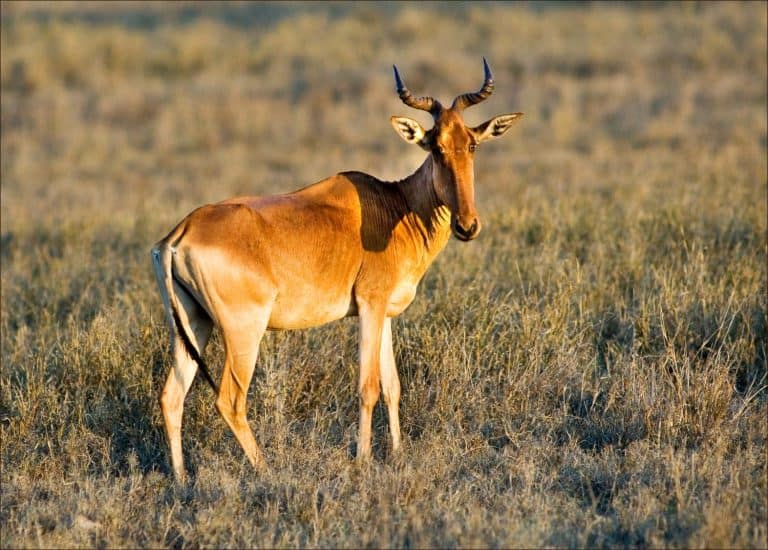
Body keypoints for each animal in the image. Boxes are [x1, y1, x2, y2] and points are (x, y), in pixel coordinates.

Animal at [151, 59, 522, 481]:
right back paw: (267, 470)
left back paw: (181, 479)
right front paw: (363, 460)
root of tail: (181, 232)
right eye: (436, 147)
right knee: (230, 400)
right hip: (243, 331)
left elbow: (392, 385)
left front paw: (397, 454)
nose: (467, 226)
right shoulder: (370, 306)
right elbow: (368, 386)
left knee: (171, 396)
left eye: (471, 144)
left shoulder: (383, 313)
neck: (394, 205)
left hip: (192, 325)